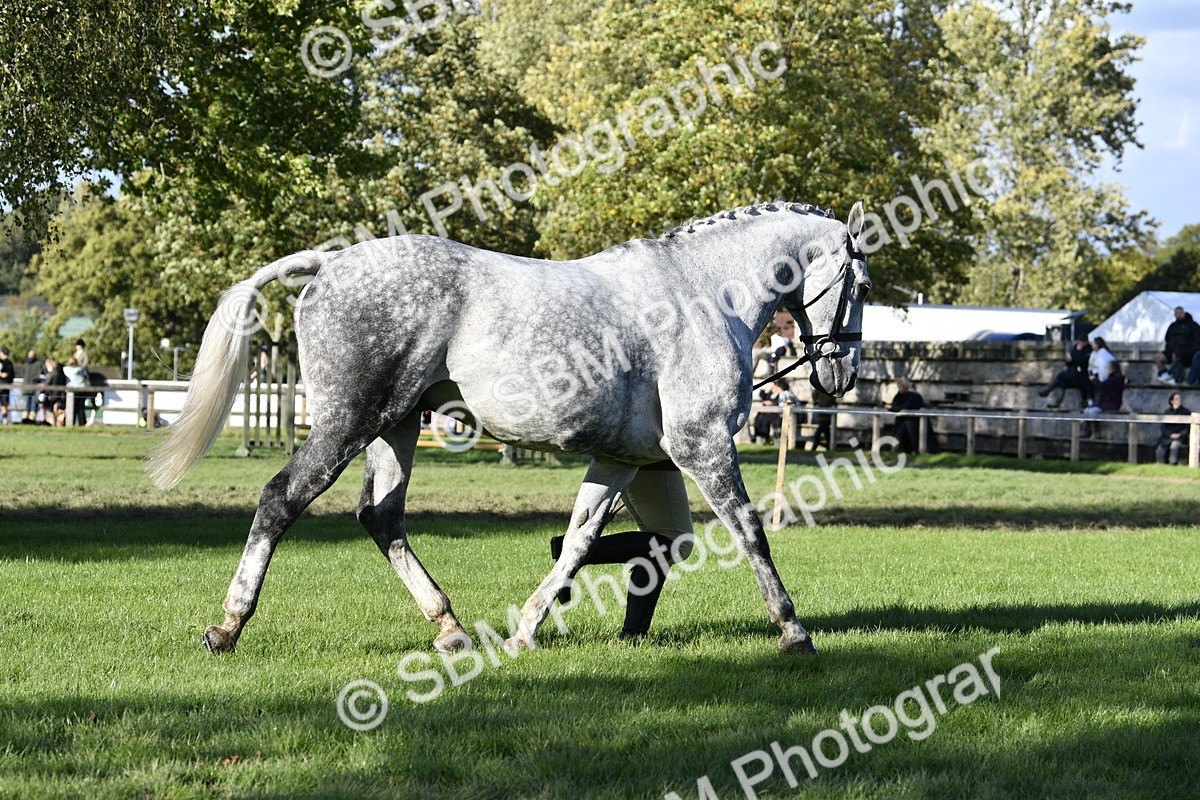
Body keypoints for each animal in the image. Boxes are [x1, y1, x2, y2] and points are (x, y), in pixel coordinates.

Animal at [149, 200, 870, 655]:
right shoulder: (704, 445)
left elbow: (579, 540)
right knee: (281, 499)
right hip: (347, 423)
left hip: (396, 428)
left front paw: (527, 628)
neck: (702, 294)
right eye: (860, 284)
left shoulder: (619, 461)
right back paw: (227, 627)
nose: (843, 372)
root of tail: (328, 265)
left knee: (381, 516)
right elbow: (751, 533)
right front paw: (794, 631)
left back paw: (449, 628)